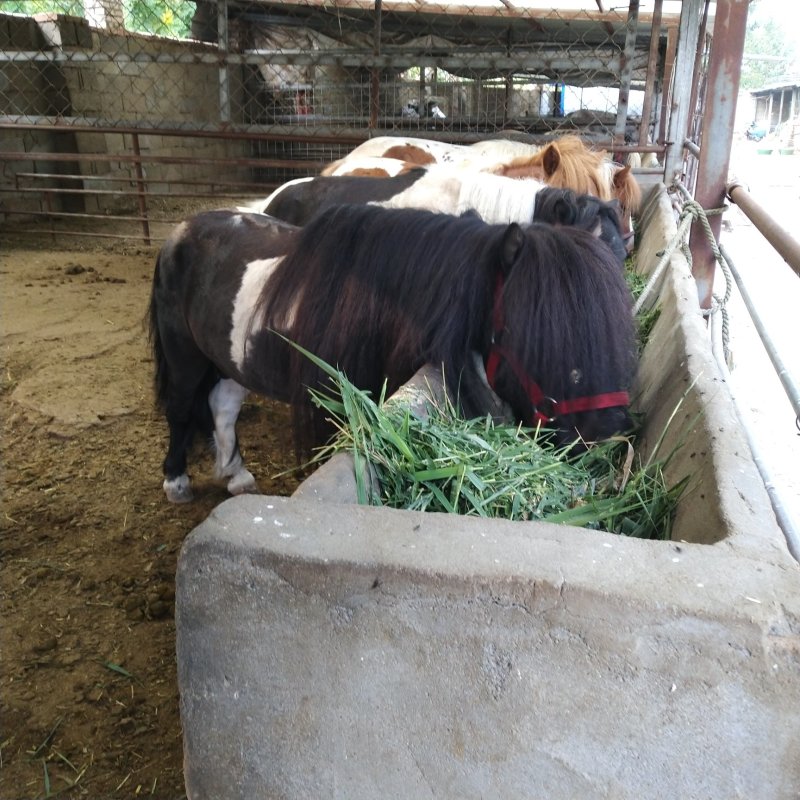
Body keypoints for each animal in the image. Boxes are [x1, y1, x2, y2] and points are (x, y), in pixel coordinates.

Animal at [149, 202, 637, 502]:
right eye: (532, 330)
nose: (608, 435)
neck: (376, 304)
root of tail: (181, 232)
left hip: (229, 362)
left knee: (223, 407)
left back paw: (236, 474)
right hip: (186, 357)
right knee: (181, 409)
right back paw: (176, 481)